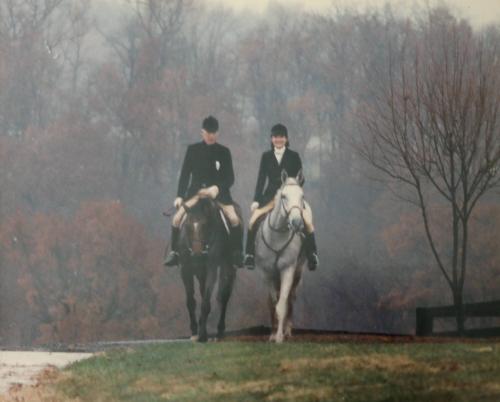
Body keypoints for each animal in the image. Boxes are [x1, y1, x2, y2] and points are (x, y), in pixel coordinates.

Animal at [179, 198, 235, 342]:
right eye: (187, 226)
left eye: (204, 225)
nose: (197, 254)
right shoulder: (186, 270)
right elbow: (190, 301)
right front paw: (194, 330)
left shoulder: (212, 269)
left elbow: (206, 301)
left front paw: (202, 334)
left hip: (227, 268)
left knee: (223, 296)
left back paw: (220, 331)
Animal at [256, 170, 306, 342]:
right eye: (284, 196)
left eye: (302, 196)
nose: (297, 222)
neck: (277, 236)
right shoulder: (267, 272)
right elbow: (273, 303)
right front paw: (272, 335)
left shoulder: (288, 269)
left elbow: (282, 304)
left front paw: (279, 337)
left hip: (297, 273)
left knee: (290, 298)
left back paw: (287, 331)